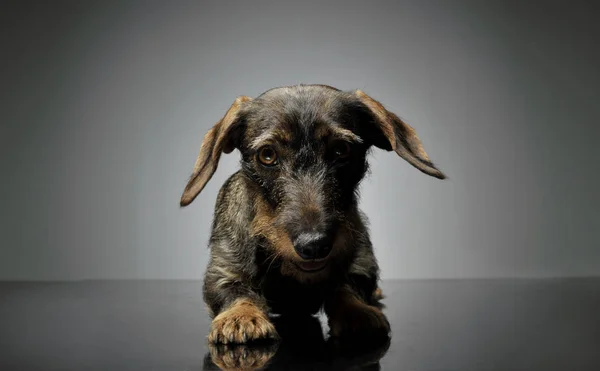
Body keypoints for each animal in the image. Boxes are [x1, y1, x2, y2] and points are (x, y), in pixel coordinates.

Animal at [178, 84, 446, 346]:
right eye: (267, 155)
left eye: (341, 150)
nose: (314, 245)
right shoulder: (222, 271)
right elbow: (233, 290)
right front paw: (241, 316)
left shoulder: (361, 262)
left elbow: (346, 287)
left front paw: (356, 312)